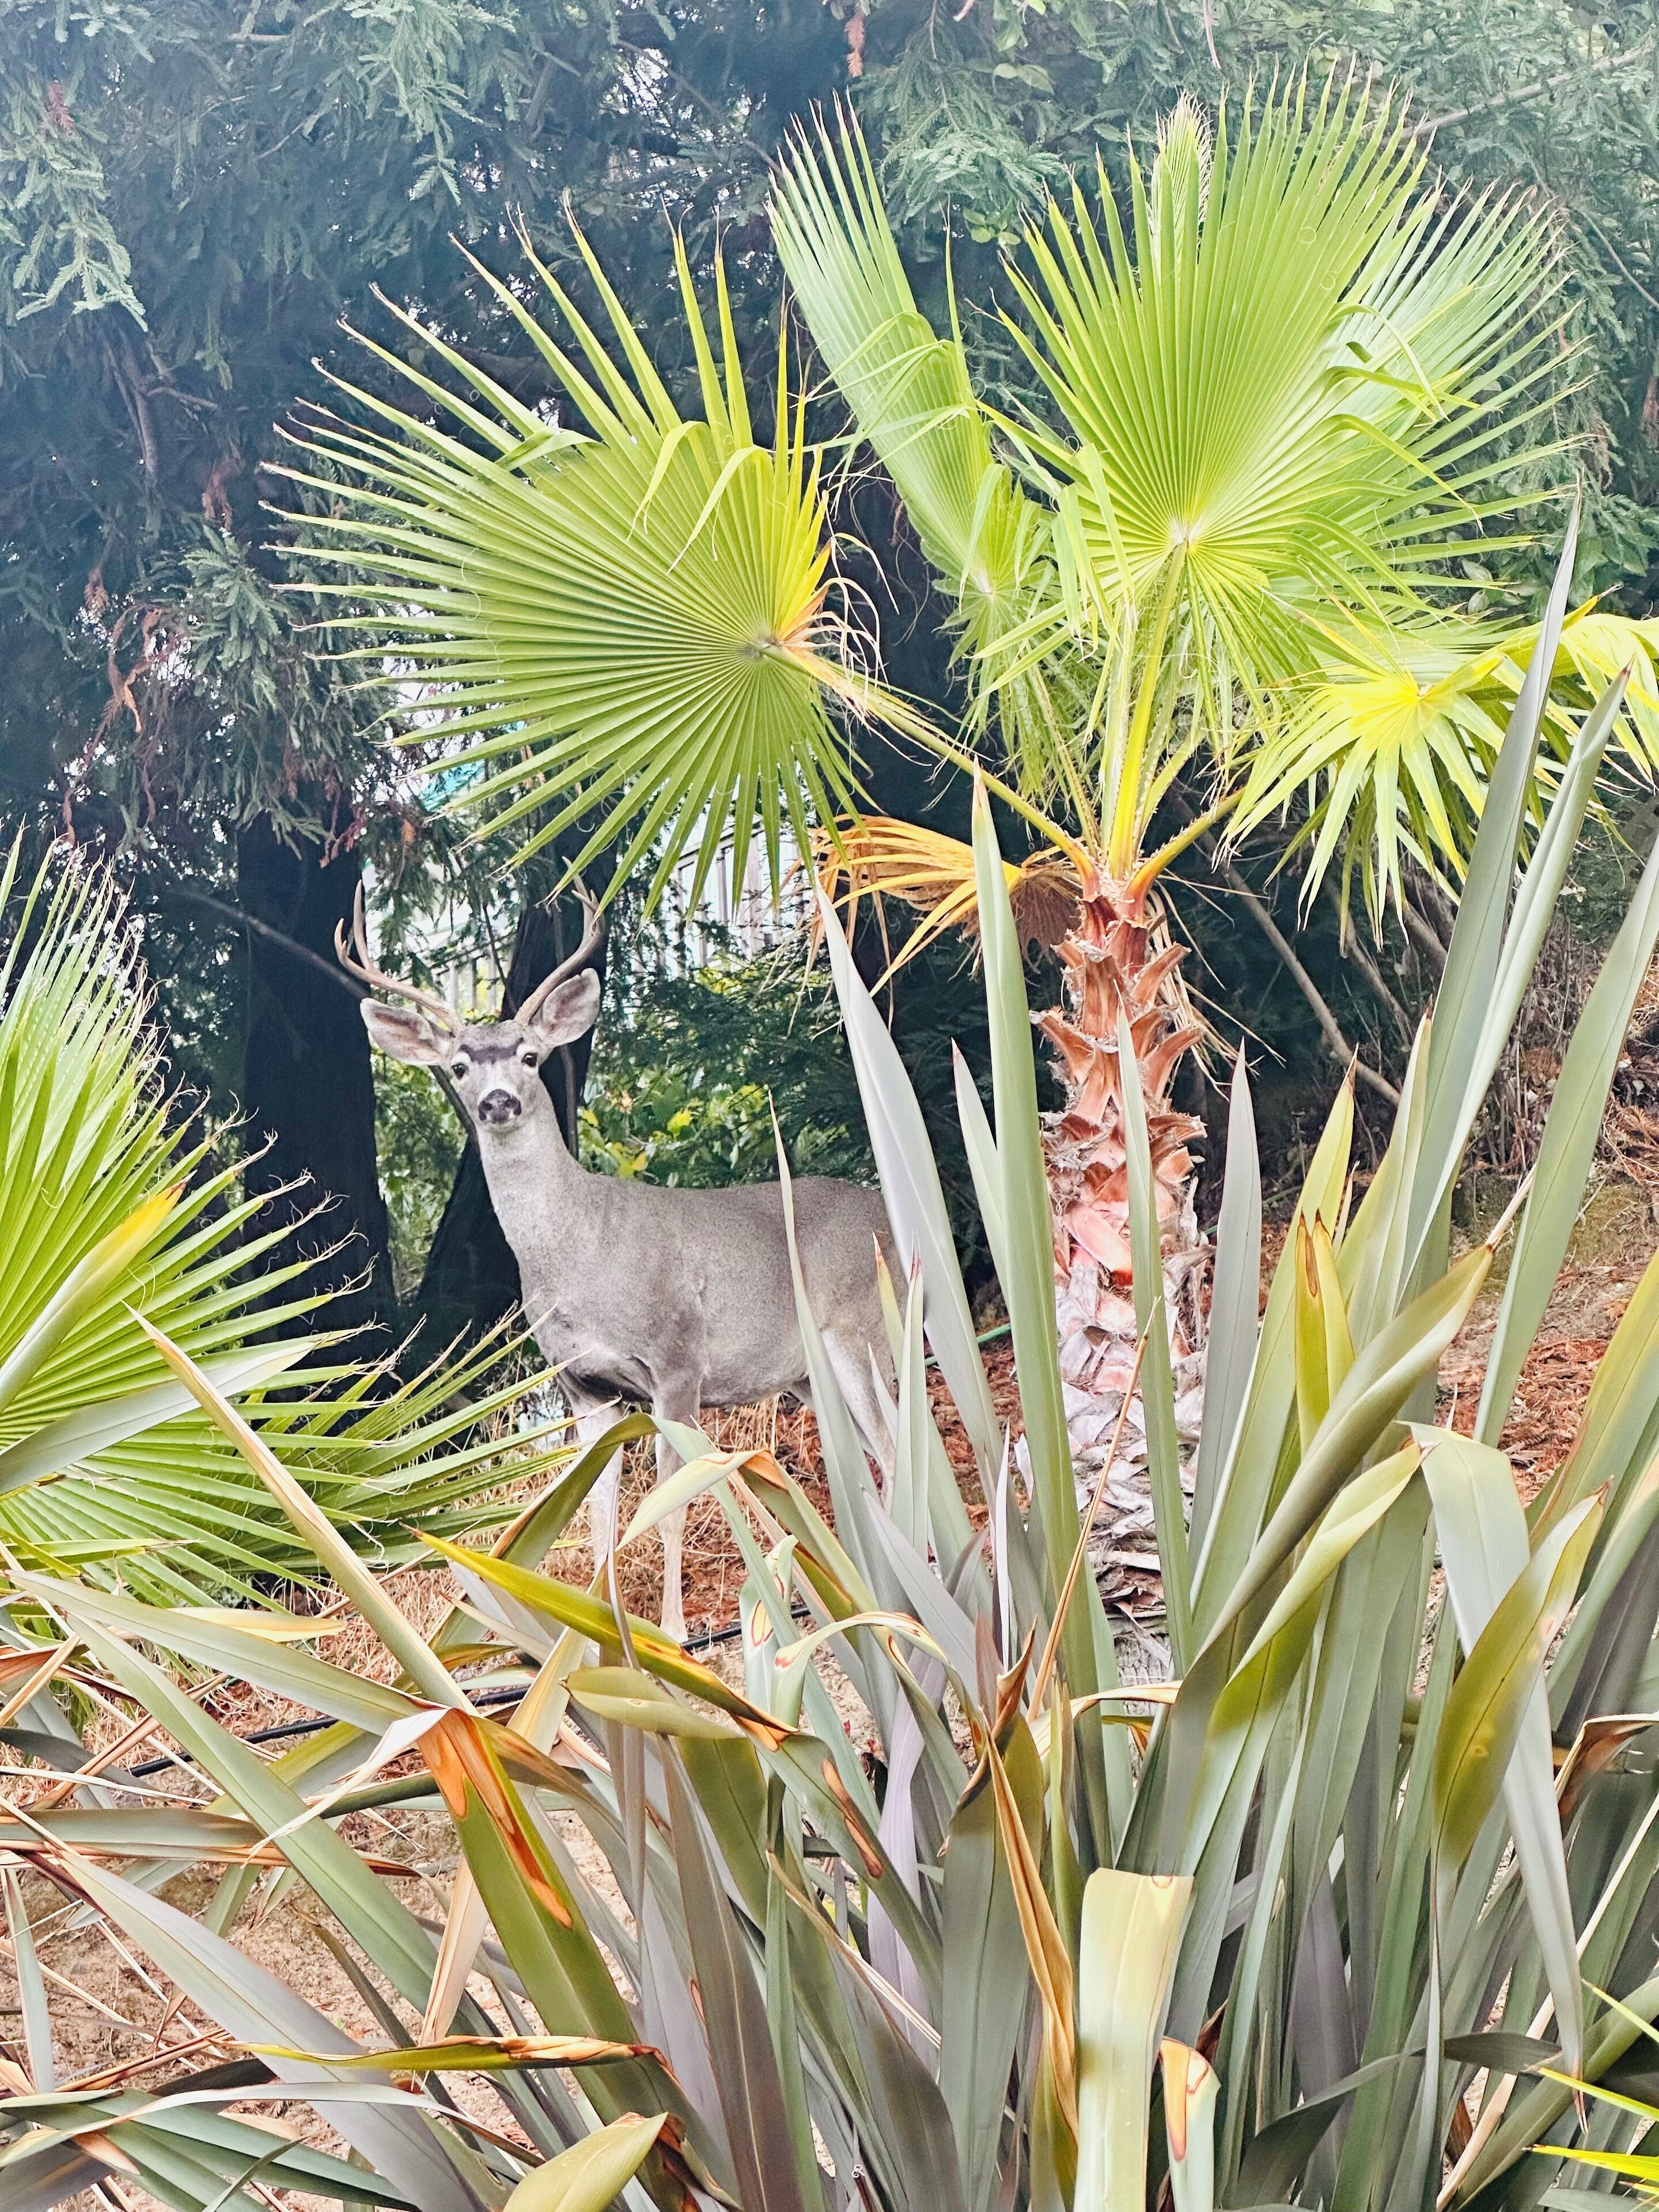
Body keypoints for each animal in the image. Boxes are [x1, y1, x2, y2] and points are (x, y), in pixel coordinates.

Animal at [340, 890, 898, 1639]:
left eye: (530, 1055)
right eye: (459, 1066)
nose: (497, 1101)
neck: (582, 1257)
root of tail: (891, 1218)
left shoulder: (678, 1360)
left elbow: (668, 1506)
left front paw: (676, 1632)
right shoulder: (583, 1385)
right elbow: (599, 1512)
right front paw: (600, 1632)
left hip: (862, 1333)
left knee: (896, 1445)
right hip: (809, 1373)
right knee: (868, 1458)